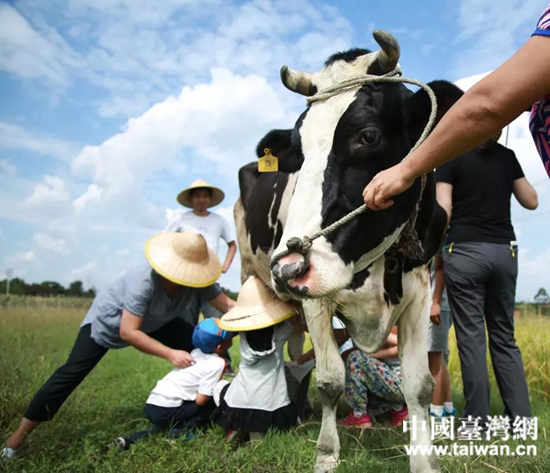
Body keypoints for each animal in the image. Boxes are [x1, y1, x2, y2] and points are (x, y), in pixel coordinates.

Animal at [235, 31, 464, 470]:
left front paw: (424, 461)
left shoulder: (419, 291)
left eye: (367, 136)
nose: (288, 269)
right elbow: (329, 379)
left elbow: (419, 385)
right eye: (297, 151)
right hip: (249, 271)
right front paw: (326, 455)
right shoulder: (315, 298)